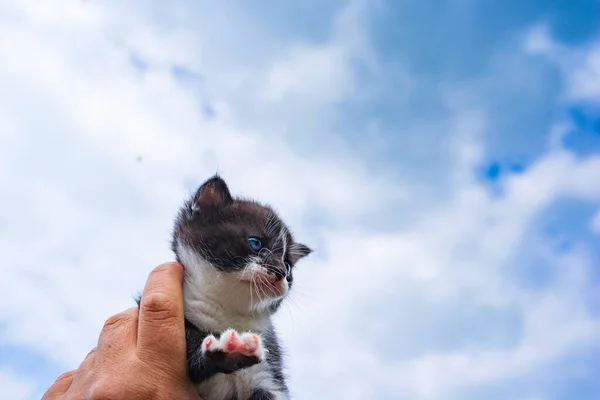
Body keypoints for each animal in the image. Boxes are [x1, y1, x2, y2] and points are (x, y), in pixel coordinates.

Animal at [143, 175, 312, 400]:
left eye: (288, 265)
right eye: (255, 243)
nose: (280, 272)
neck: (226, 311)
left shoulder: (266, 371)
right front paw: (229, 350)